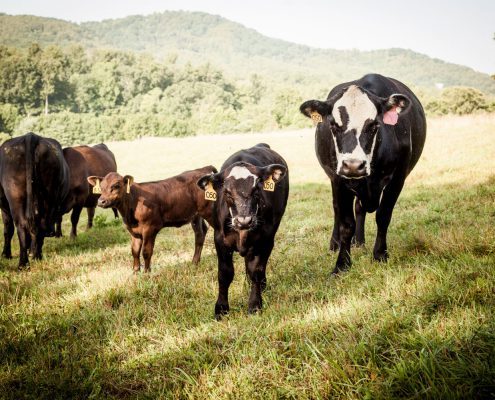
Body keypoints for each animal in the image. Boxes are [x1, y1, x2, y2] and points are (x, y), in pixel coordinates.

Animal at [0, 132, 70, 268]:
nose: (52, 233)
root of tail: (31, 136)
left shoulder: (4, 207)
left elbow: (8, 229)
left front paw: (6, 254)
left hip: (15, 198)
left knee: (22, 226)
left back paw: (24, 263)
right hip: (48, 199)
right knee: (38, 225)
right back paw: (35, 257)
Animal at [88, 166, 216, 272]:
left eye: (116, 186)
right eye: (101, 187)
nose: (101, 201)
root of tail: (203, 169)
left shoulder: (150, 228)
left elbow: (146, 251)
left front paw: (146, 273)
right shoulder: (133, 231)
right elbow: (134, 251)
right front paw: (135, 272)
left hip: (209, 212)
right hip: (196, 215)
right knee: (199, 234)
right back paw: (194, 263)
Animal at [198, 144, 290, 318]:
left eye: (256, 190)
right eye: (227, 192)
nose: (244, 221)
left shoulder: (266, 240)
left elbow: (257, 270)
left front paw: (255, 304)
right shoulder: (220, 240)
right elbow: (225, 273)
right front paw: (221, 308)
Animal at [300, 74, 428, 276]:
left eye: (374, 124)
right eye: (333, 125)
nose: (353, 165)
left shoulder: (398, 178)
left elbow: (383, 215)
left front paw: (380, 254)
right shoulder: (339, 179)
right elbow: (346, 223)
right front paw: (342, 264)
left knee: (360, 208)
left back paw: (359, 241)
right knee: (337, 209)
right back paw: (335, 243)